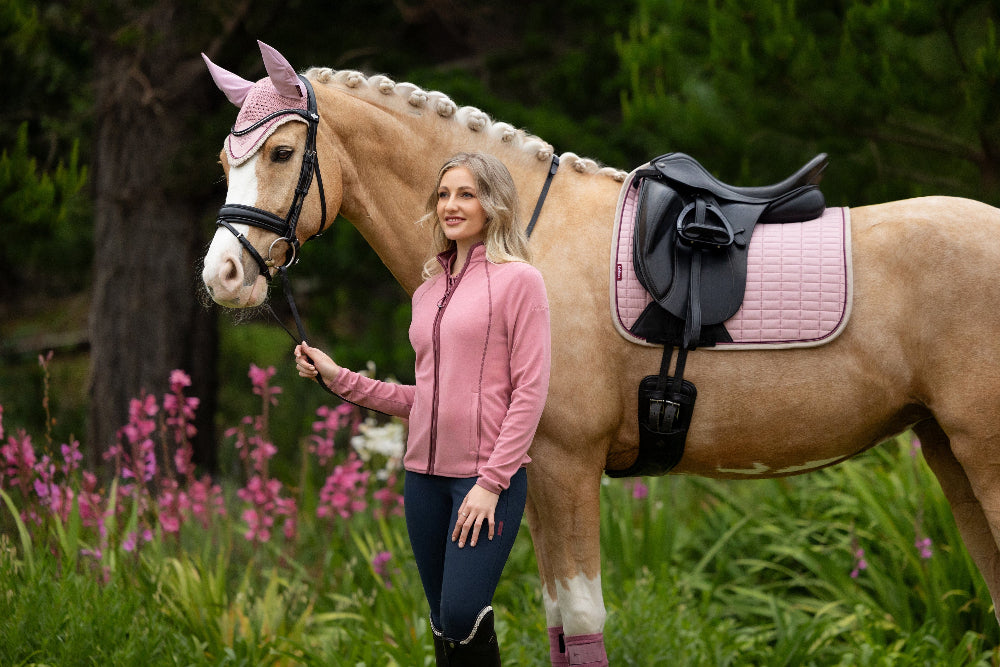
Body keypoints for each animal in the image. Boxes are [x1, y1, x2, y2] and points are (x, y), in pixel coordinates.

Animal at [199, 41, 1000, 664]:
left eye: (281, 151)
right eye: (225, 162)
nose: (222, 275)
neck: (523, 237)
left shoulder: (567, 465)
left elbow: (582, 621)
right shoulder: (534, 476)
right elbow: (556, 620)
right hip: (947, 451)